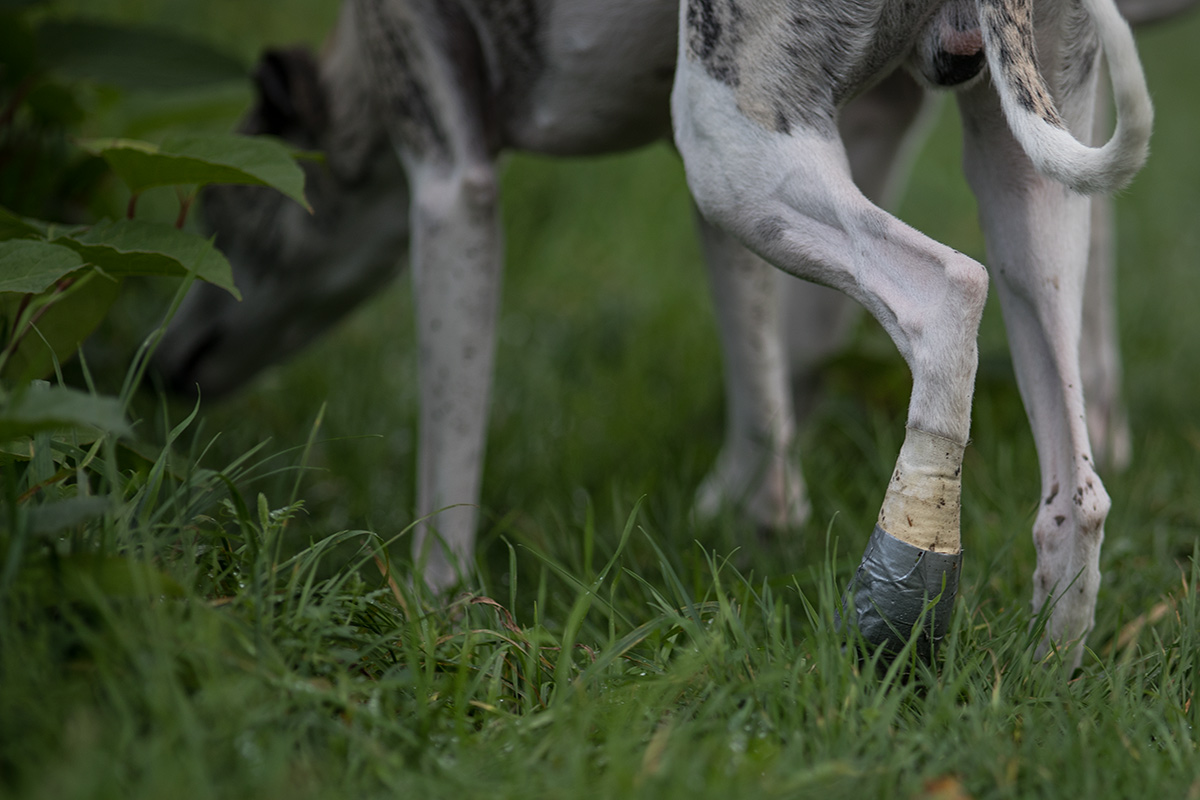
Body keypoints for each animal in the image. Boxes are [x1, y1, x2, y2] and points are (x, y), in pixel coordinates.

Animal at [154, 0, 1166, 662]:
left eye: (220, 209)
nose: (159, 368)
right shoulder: (724, 220)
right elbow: (764, 416)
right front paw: (753, 520)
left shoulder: (449, 180)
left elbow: (447, 458)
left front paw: (433, 619)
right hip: (1019, 171)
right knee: (1079, 488)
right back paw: (1041, 676)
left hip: (731, 143)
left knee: (949, 288)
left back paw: (900, 585)